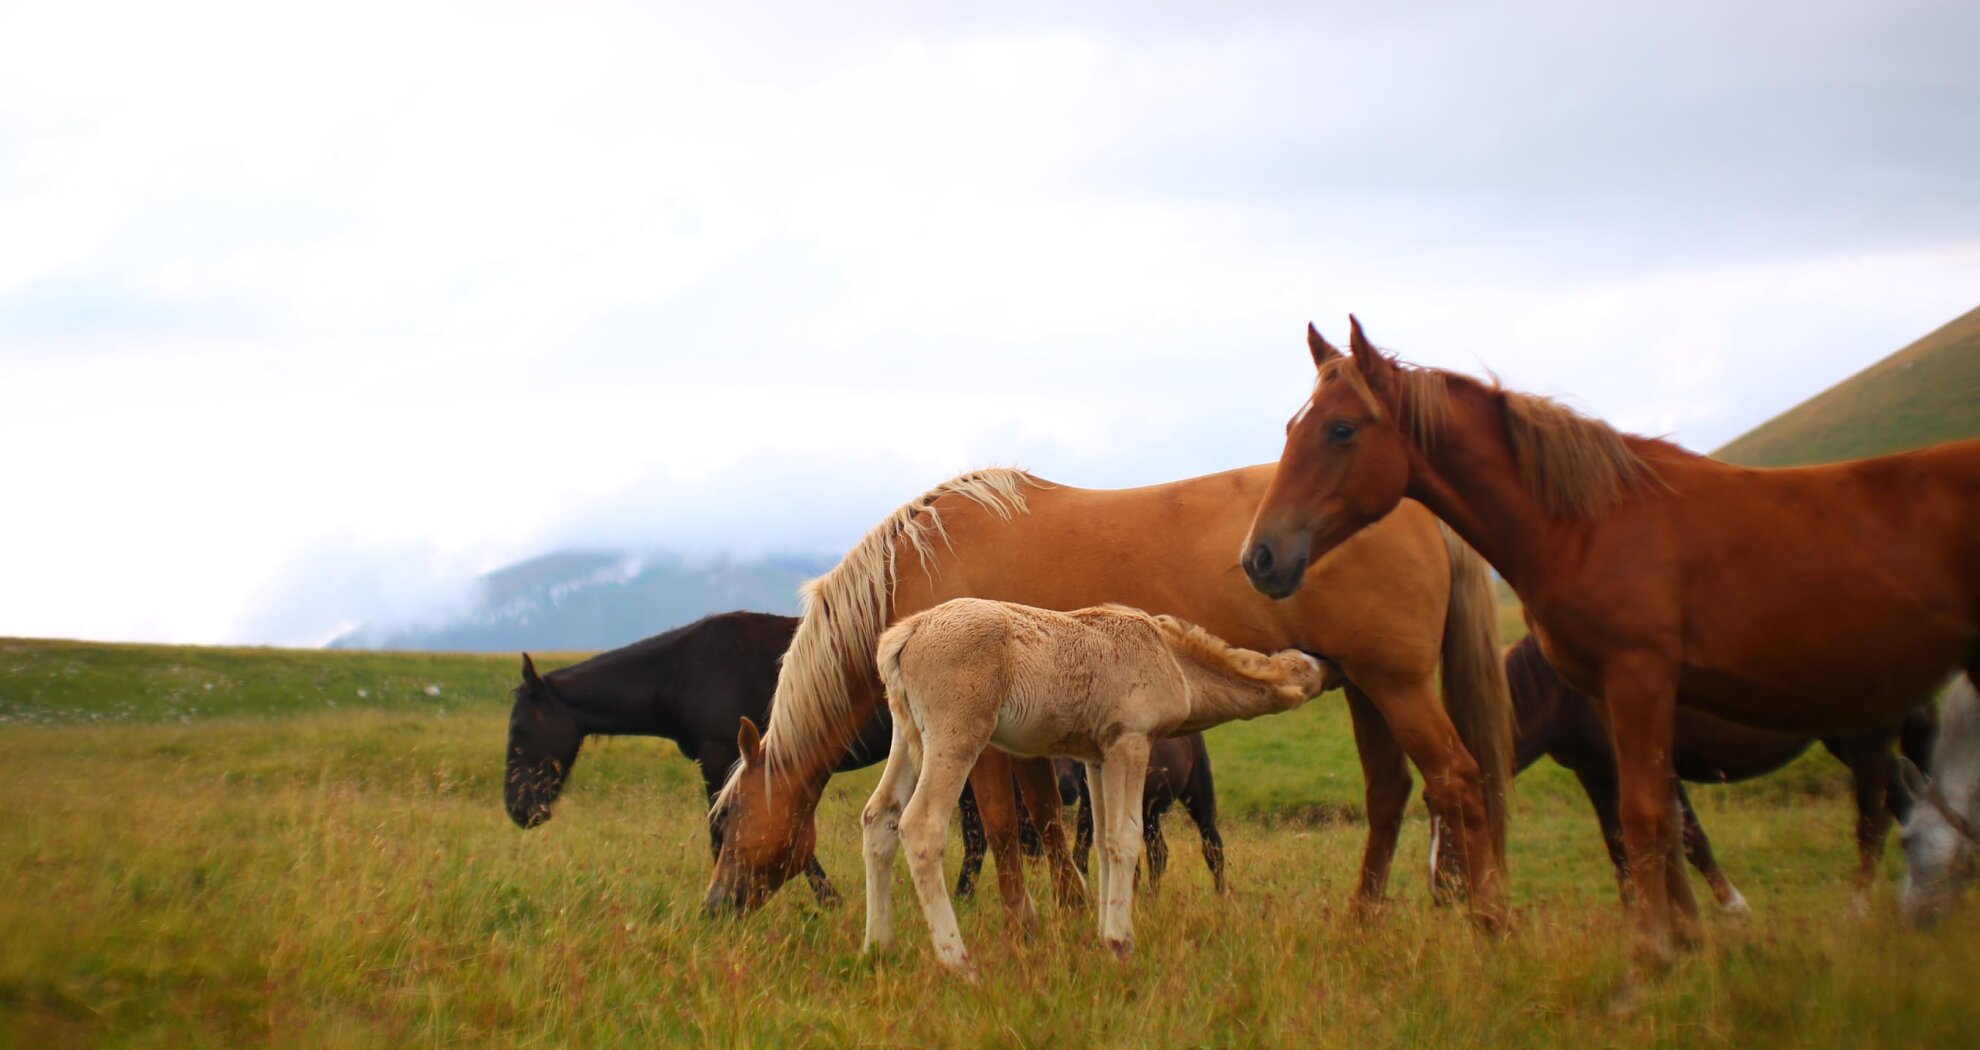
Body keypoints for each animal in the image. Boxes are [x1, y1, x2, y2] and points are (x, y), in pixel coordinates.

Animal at [502, 610, 995, 905]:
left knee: (975, 836)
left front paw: (824, 901)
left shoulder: (724, 761)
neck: (680, 673)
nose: (520, 811)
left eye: (521, 729)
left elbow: (728, 834)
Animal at [703, 464, 1516, 935]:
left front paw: (1025, 925)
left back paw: (1485, 919)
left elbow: (1003, 825)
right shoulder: (1035, 734)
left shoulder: (982, 739)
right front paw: (1069, 912)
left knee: (1456, 781)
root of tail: (1420, 510)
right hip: (1369, 690)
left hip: (1397, 686)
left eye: (728, 819)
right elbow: (1046, 821)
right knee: (1391, 793)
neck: (921, 560)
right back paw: (1364, 918)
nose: (714, 907)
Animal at [860, 599, 1337, 977]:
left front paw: (1105, 937)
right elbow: (1125, 838)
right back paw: (959, 965)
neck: (1171, 658)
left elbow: (1104, 843)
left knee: (879, 818)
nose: (1331, 665)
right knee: (921, 826)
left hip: (909, 736)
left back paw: (878, 948)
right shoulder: (1131, 741)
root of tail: (907, 632)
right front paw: (1122, 945)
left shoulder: (1096, 755)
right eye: (1305, 667)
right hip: (956, 736)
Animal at [1429, 636, 1937, 914]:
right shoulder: (1596, 772)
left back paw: (1861, 908)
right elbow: (1620, 846)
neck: (1565, 692)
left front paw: (1734, 909)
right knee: (1907, 800)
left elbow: (1689, 837)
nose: (1441, 889)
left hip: (1864, 743)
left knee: (1874, 820)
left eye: (1458, 811)